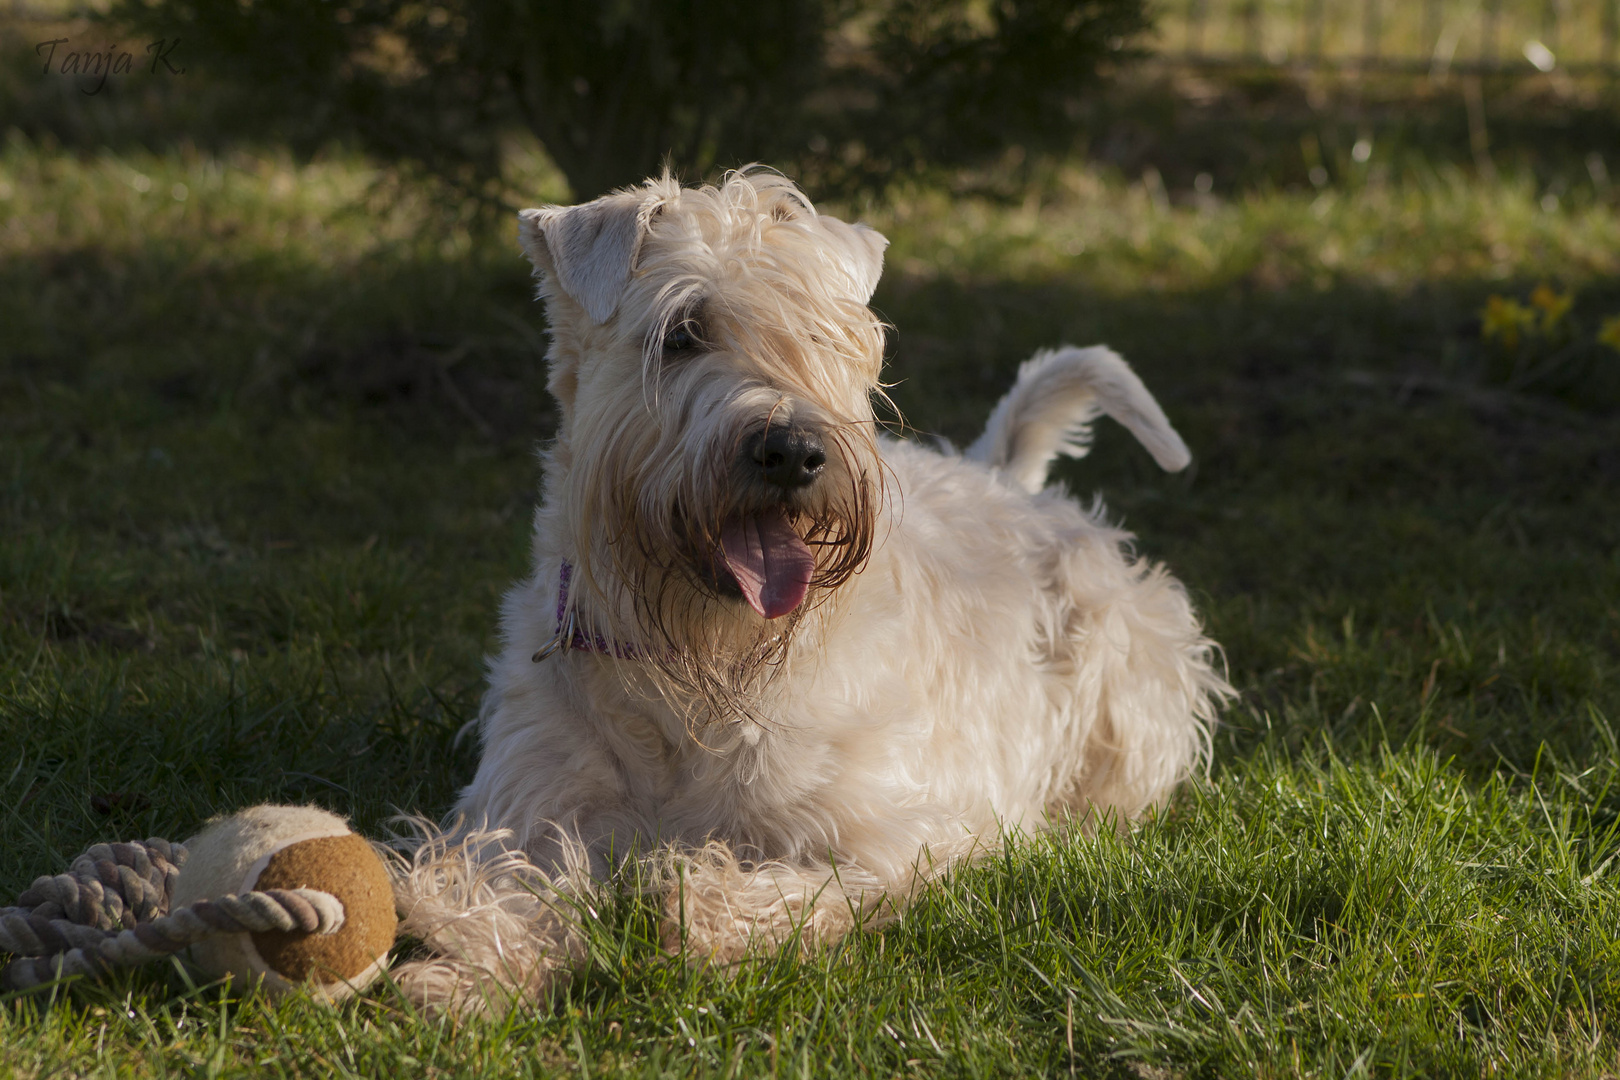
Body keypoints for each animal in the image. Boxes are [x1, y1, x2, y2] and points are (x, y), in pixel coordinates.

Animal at [388, 169, 1224, 1016]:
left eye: (822, 334)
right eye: (681, 333)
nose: (792, 450)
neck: (689, 681)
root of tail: (1003, 478)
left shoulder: (901, 830)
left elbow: (805, 888)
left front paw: (694, 918)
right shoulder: (533, 804)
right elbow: (512, 886)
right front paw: (467, 968)